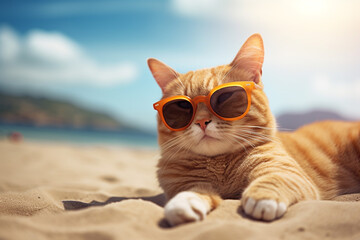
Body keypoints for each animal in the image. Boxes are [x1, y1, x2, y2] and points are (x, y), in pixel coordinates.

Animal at [147, 33, 360, 227]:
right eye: (182, 106)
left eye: (225, 96)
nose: (201, 121)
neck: (219, 165)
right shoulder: (187, 184)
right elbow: (193, 191)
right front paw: (183, 204)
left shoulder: (287, 172)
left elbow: (274, 178)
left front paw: (263, 198)